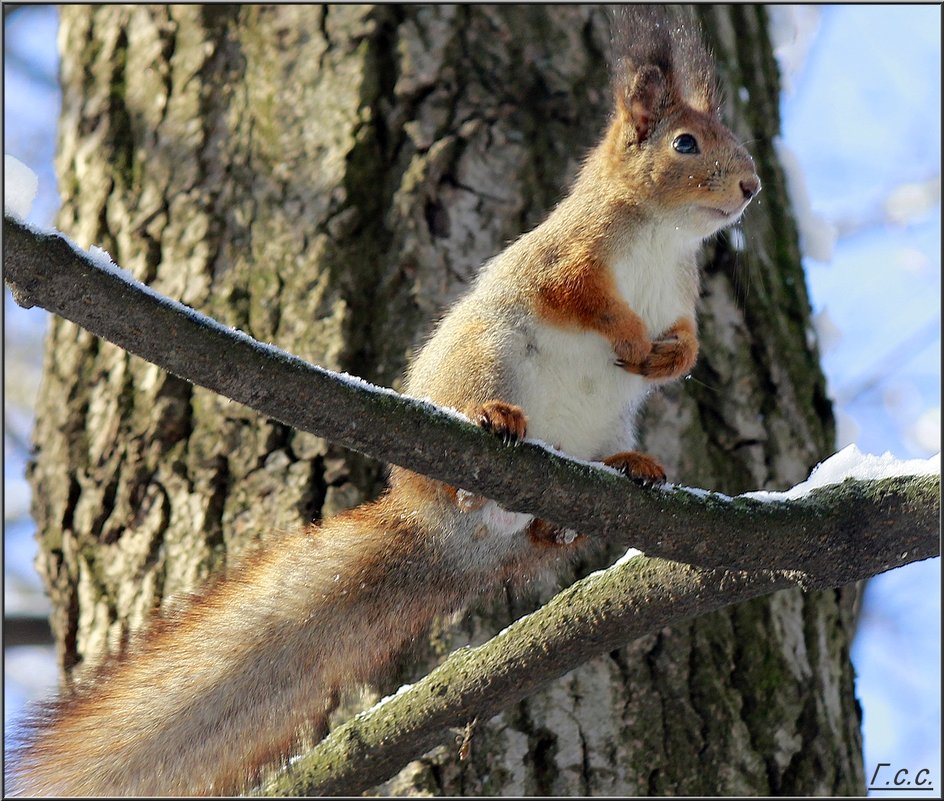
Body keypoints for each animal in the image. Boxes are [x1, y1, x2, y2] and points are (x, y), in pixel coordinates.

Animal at [9, 4, 760, 792]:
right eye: (686, 143)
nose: (750, 186)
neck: (663, 237)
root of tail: (439, 525)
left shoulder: (682, 296)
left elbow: (688, 343)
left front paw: (668, 356)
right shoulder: (567, 257)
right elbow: (579, 296)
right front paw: (628, 335)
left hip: (602, 425)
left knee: (551, 518)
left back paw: (619, 475)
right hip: (487, 356)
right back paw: (497, 426)